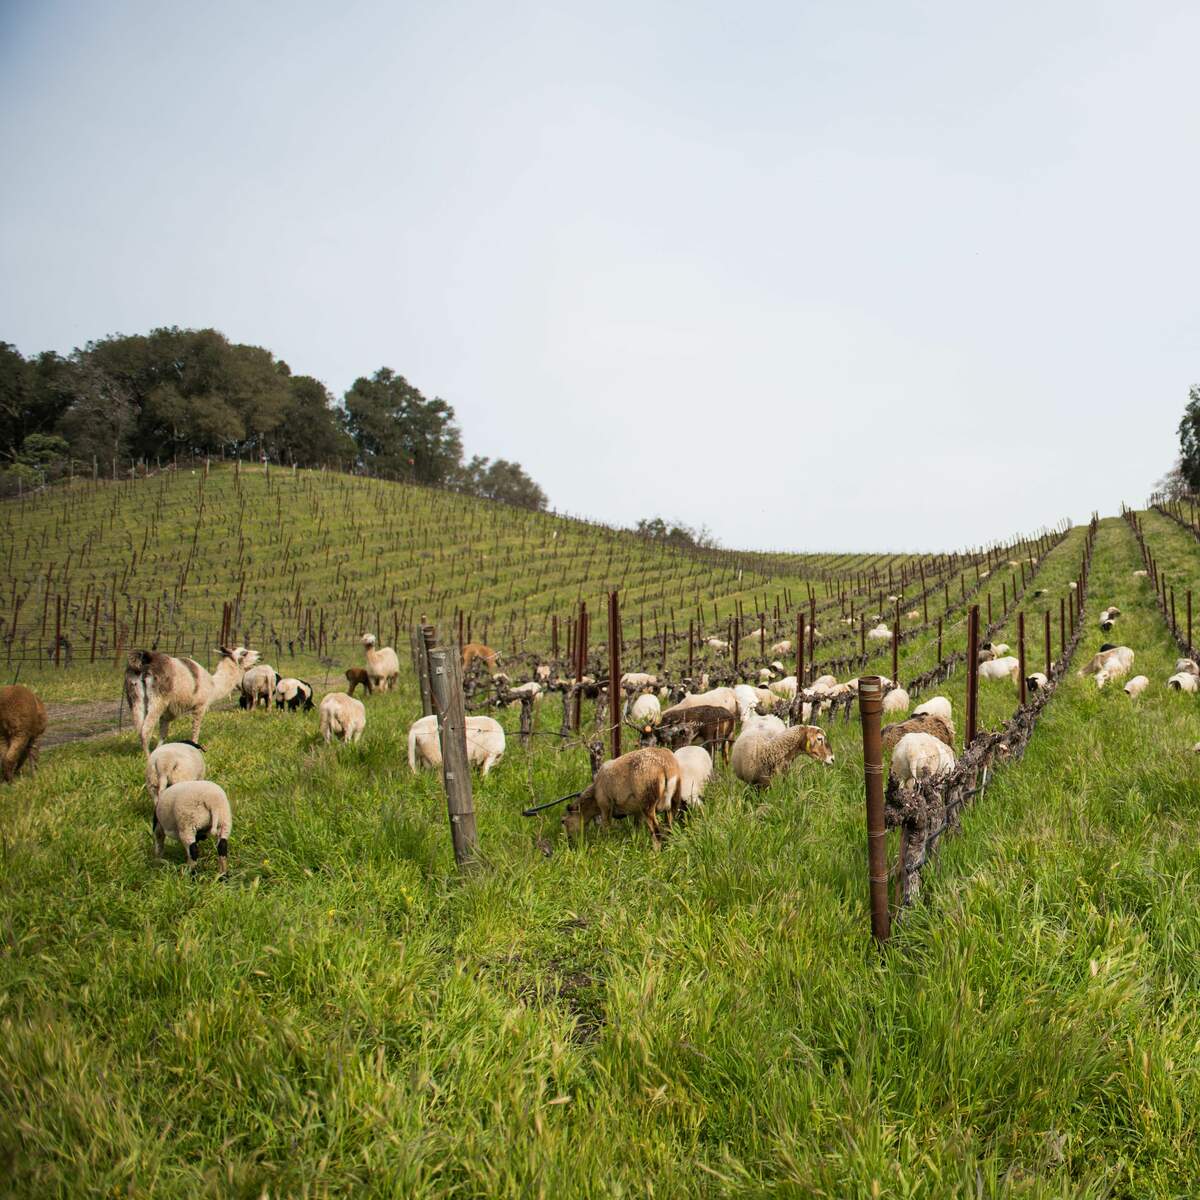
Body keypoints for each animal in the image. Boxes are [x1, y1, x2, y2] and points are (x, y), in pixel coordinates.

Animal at [124, 643, 260, 753]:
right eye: (244, 653)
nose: (260, 655)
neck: (213, 685)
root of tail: (143, 663)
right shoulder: (199, 706)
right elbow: (195, 730)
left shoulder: (168, 712)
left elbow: (163, 733)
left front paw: (161, 750)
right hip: (158, 700)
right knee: (145, 731)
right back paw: (148, 758)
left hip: (135, 699)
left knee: (140, 729)